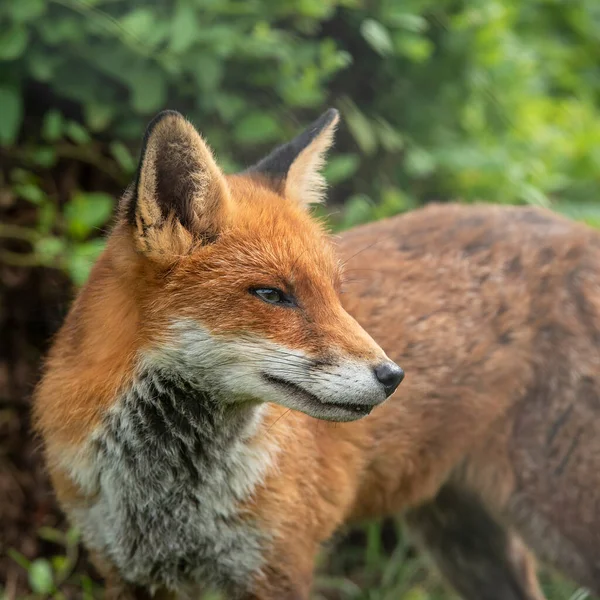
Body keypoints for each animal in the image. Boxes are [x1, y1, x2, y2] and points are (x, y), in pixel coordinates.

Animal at [34, 109, 600, 600]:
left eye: (334, 292)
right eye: (271, 294)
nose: (394, 376)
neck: (165, 494)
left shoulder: (277, 565)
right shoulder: (128, 570)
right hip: (464, 536)